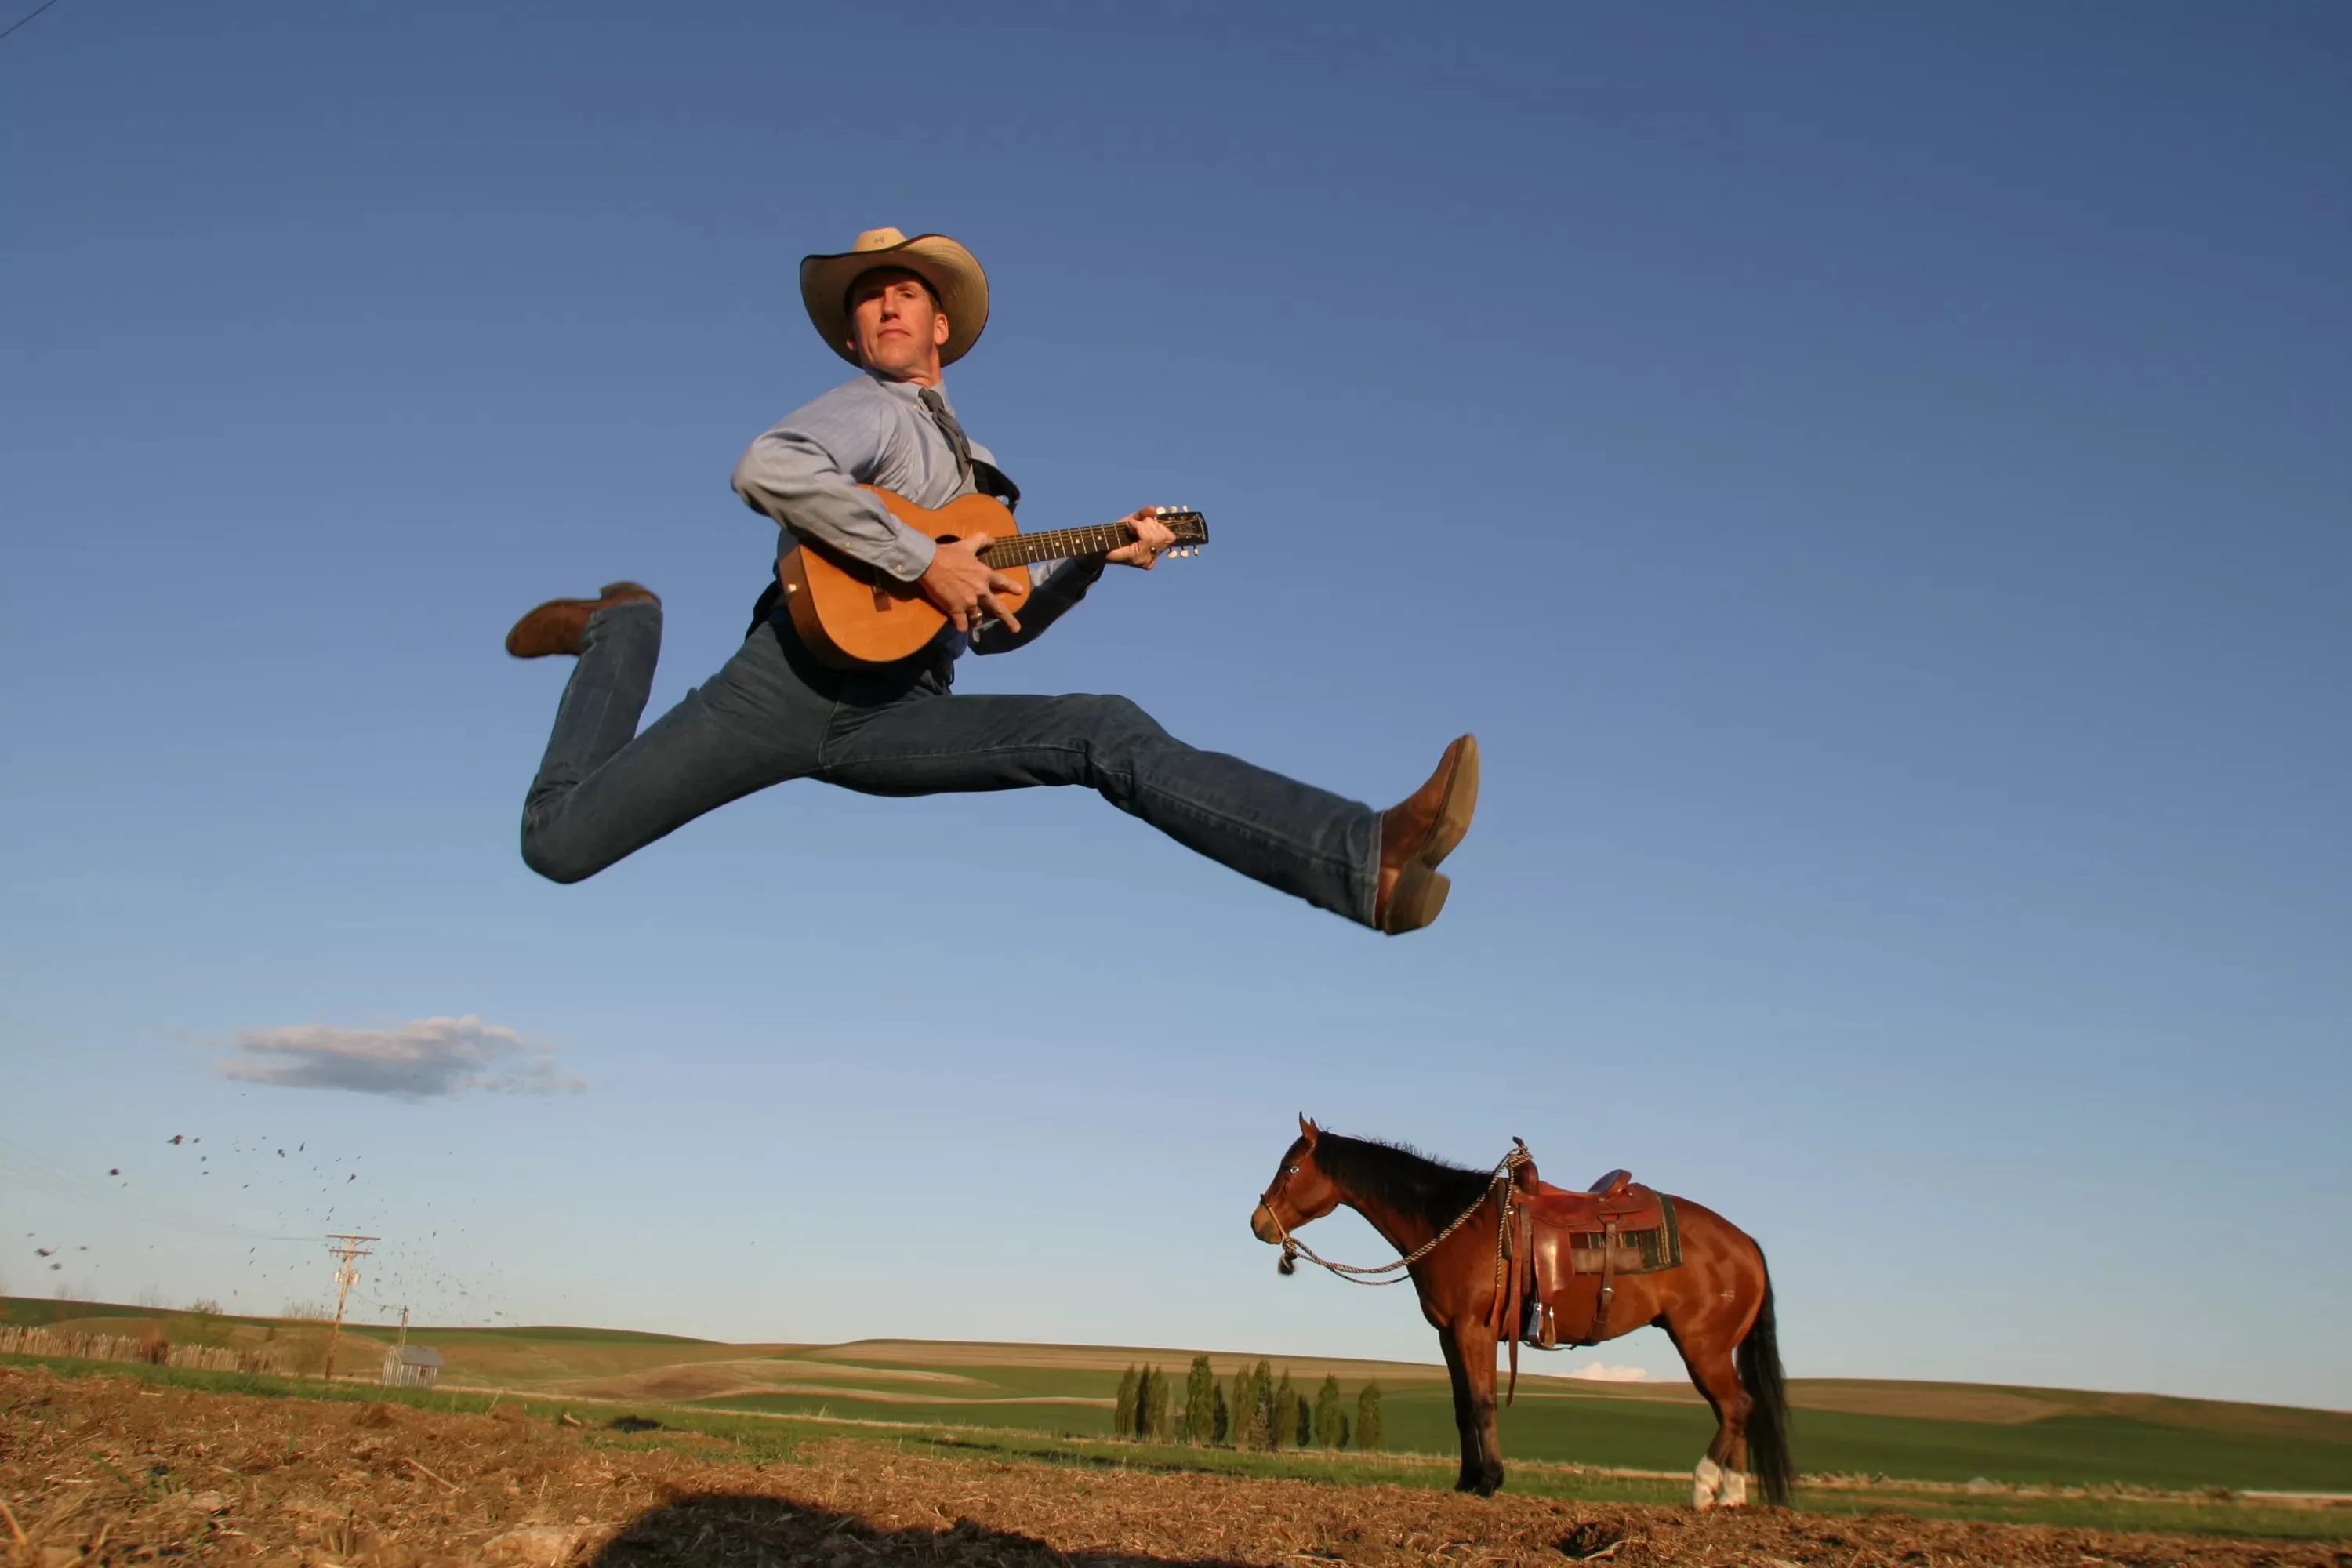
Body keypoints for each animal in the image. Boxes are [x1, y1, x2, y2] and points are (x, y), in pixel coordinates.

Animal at [1249, 1116, 1791, 1507]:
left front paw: (1490, 1479)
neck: (1455, 1223)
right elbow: (1462, 1406)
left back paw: (1703, 1489)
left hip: (1702, 1345)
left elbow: (1483, 1402)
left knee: (1735, 1407)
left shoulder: (1475, 1329)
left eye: (1290, 1169)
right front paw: (1468, 1480)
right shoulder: (1449, 1334)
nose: (1259, 1223)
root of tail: (1745, 1244)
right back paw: (1731, 1497)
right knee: (1736, 1409)